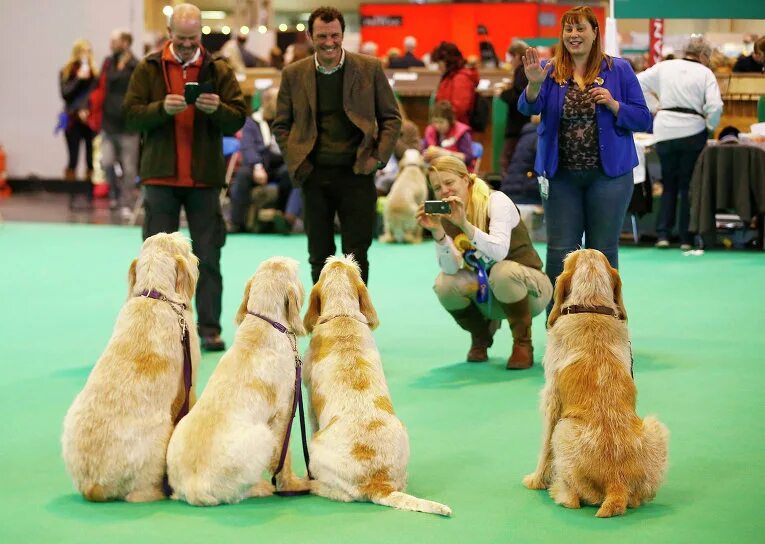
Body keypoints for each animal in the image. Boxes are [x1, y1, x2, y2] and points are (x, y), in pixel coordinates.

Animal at [62, 232, 200, 504]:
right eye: (186, 249)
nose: (197, 258)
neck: (155, 294)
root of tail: (93, 484)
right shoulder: (188, 387)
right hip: (158, 439)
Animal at [167, 258, 310, 504]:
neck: (267, 322)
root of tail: (194, 487)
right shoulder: (284, 414)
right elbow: (284, 457)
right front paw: (292, 483)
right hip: (263, 436)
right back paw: (261, 488)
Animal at [300, 255, 454, 516]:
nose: (338, 258)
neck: (342, 315)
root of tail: (378, 484)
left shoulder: (310, 403)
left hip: (316, 450)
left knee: (337, 493)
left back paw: (310, 484)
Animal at [524, 251, 664, 520]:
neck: (591, 306)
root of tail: (617, 484)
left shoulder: (551, 401)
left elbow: (544, 449)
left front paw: (536, 480)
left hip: (563, 429)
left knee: (573, 500)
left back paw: (558, 491)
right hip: (655, 426)